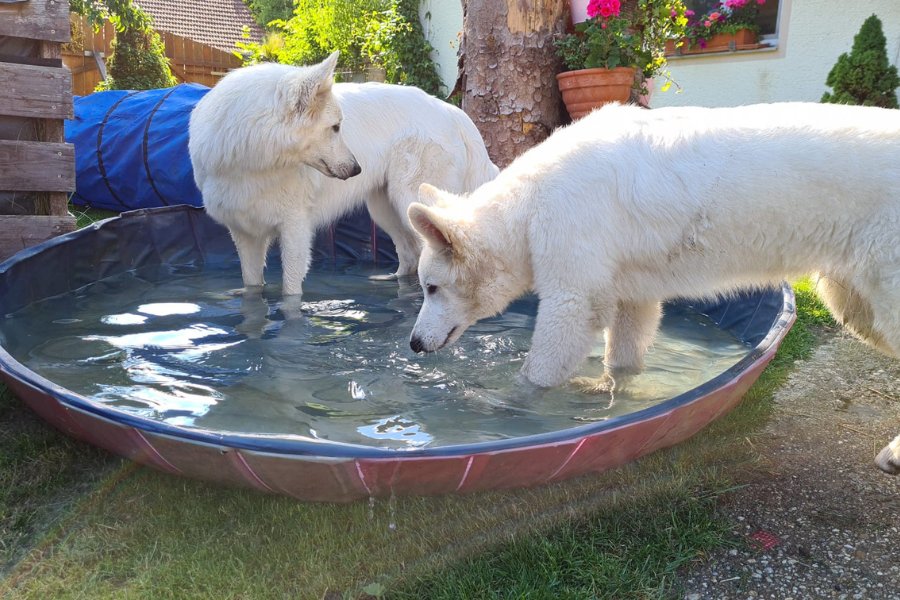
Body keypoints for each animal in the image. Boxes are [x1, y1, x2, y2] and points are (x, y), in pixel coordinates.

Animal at [189, 53, 496, 298]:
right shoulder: (245, 236)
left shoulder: (295, 229)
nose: (357, 169)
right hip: (385, 209)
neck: (249, 158)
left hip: (409, 201)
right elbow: (252, 285)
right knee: (410, 256)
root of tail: (452, 112)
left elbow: (291, 289)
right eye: (336, 127)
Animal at [406, 102, 900, 474]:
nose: (413, 344)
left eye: (431, 288)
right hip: (853, 300)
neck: (526, 208)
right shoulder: (631, 293)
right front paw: (613, 396)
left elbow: (539, 370)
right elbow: (622, 360)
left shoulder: (574, 294)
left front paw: (507, 409)